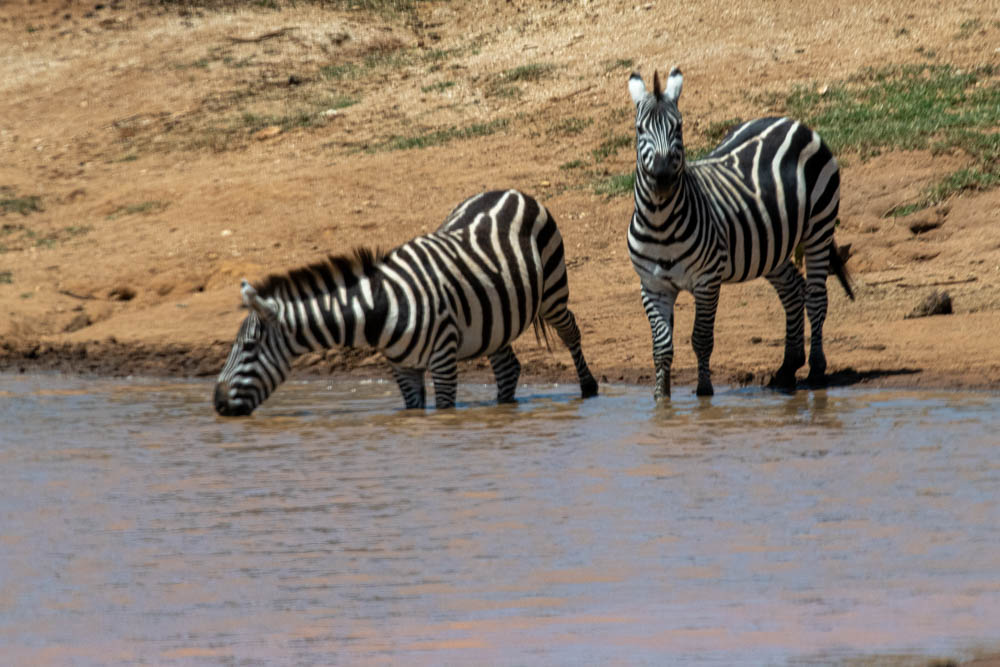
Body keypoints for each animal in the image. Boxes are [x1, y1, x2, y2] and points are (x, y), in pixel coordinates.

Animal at [214, 189, 599, 415]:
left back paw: (589, 388)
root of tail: (512, 191)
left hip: (552, 290)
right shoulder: (403, 369)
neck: (379, 308)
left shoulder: (443, 359)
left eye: (248, 348)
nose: (216, 402)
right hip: (494, 316)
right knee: (508, 367)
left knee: (571, 332)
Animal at [626, 67, 854, 399]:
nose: (663, 178)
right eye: (640, 129)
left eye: (678, 127)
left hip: (819, 228)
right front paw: (661, 398)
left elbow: (701, 339)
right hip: (770, 245)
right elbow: (661, 347)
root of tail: (792, 122)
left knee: (816, 297)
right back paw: (787, 369)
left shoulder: (707, 281)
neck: (660, 222)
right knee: (792, 290)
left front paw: (704, 392)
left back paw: (815, 371)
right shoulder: (653, 286)